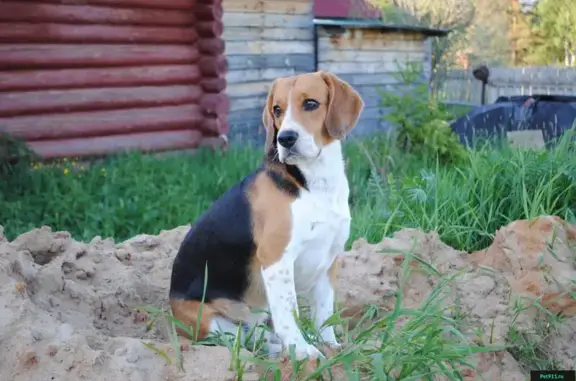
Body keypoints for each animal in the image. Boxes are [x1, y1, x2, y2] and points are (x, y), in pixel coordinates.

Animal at [168, 71, 364, 360]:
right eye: (277, 109)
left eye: (311, 104)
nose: (285, 139)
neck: (314, 184)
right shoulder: (276, 260)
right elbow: (289, 314)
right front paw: (303, 351)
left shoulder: (329, 260)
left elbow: (324, 314)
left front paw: (331, 347)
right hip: (211, 320)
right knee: (243, 340)